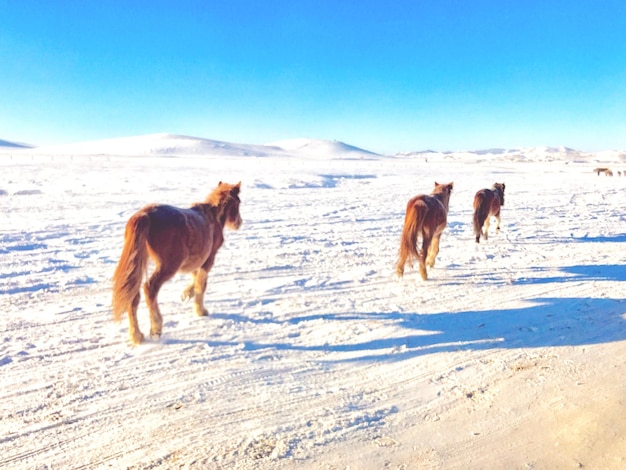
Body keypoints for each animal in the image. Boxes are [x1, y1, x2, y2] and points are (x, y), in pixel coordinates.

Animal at [111, 182, 240, 344]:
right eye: (238, 202)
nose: (239, 223)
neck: (212, 217)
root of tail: (145, 215)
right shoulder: (208, 261)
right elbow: (201, 284)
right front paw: (200, 310)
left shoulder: (196, 260)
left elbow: (195, 279)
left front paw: (186, 294)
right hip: (168, 266)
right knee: (150, 288)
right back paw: (156, 329)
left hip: (138, 267)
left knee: (133, 296)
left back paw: (137, 336)